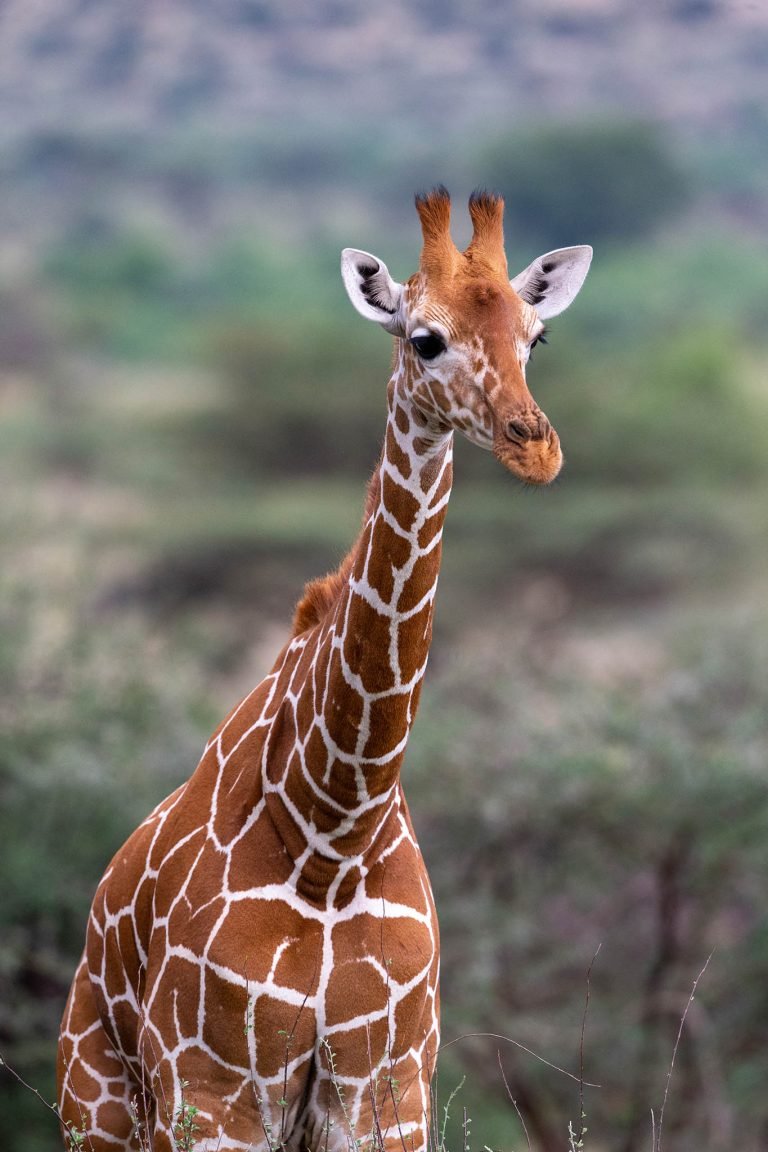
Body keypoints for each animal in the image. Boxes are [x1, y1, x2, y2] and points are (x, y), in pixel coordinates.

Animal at [57, 188, 592, 1152]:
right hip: (101, 1105)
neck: (332, 834)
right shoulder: (214, 1094)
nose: (535, 447)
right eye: (425, 339)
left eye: (538, 338)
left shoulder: (387, 1093)